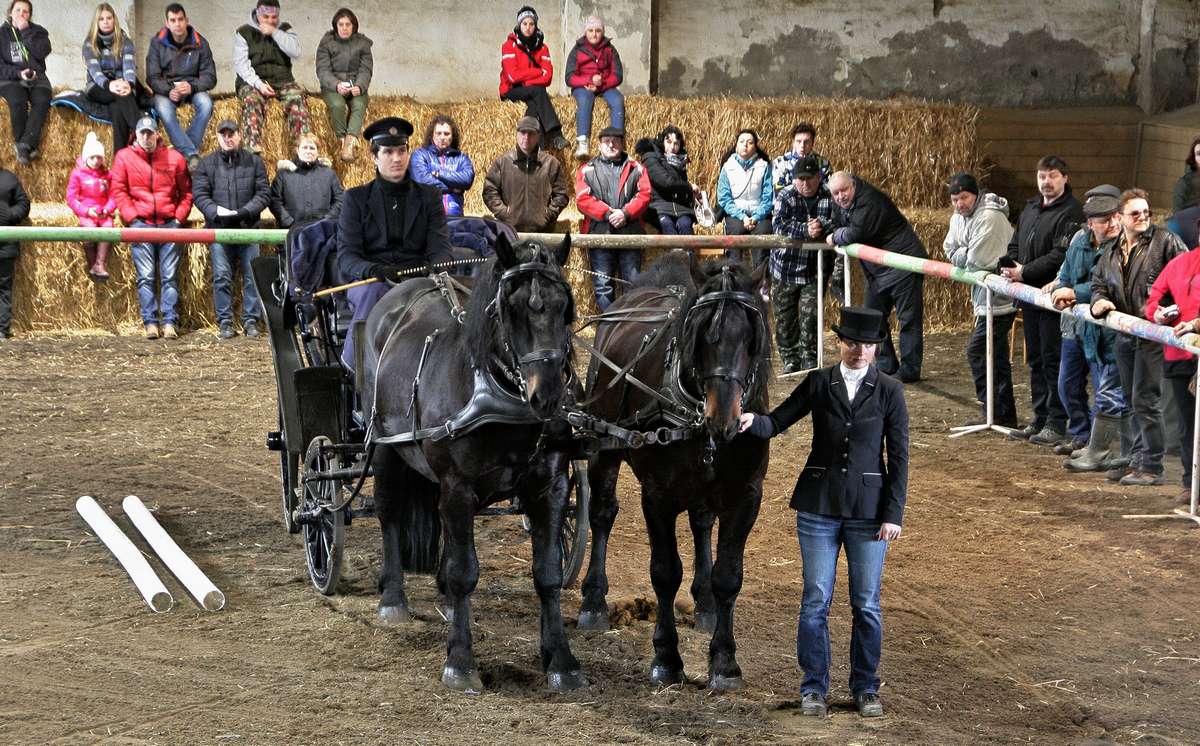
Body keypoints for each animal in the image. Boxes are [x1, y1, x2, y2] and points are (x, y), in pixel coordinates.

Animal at [357, 233, 583, 695]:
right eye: (511, 308)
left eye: (565, 306)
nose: (548, 396)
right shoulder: (458, 486)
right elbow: (465, 572)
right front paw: (460, 661)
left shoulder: (550, 488)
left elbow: (548, 573)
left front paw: (560, 659)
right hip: (386, 444)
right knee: (389, 512)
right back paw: (393, 599)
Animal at [578, 254, 768, 690]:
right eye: (703, 334)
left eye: (752, 337)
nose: (723, 418)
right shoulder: (657, 496)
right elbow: (664, 573)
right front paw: (666, 657)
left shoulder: (747, 495)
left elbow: (729, 576)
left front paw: (725, 662)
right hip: (601, 445)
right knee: (602, 514)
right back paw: (593, 601)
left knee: (701, 523)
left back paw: (705, 603)